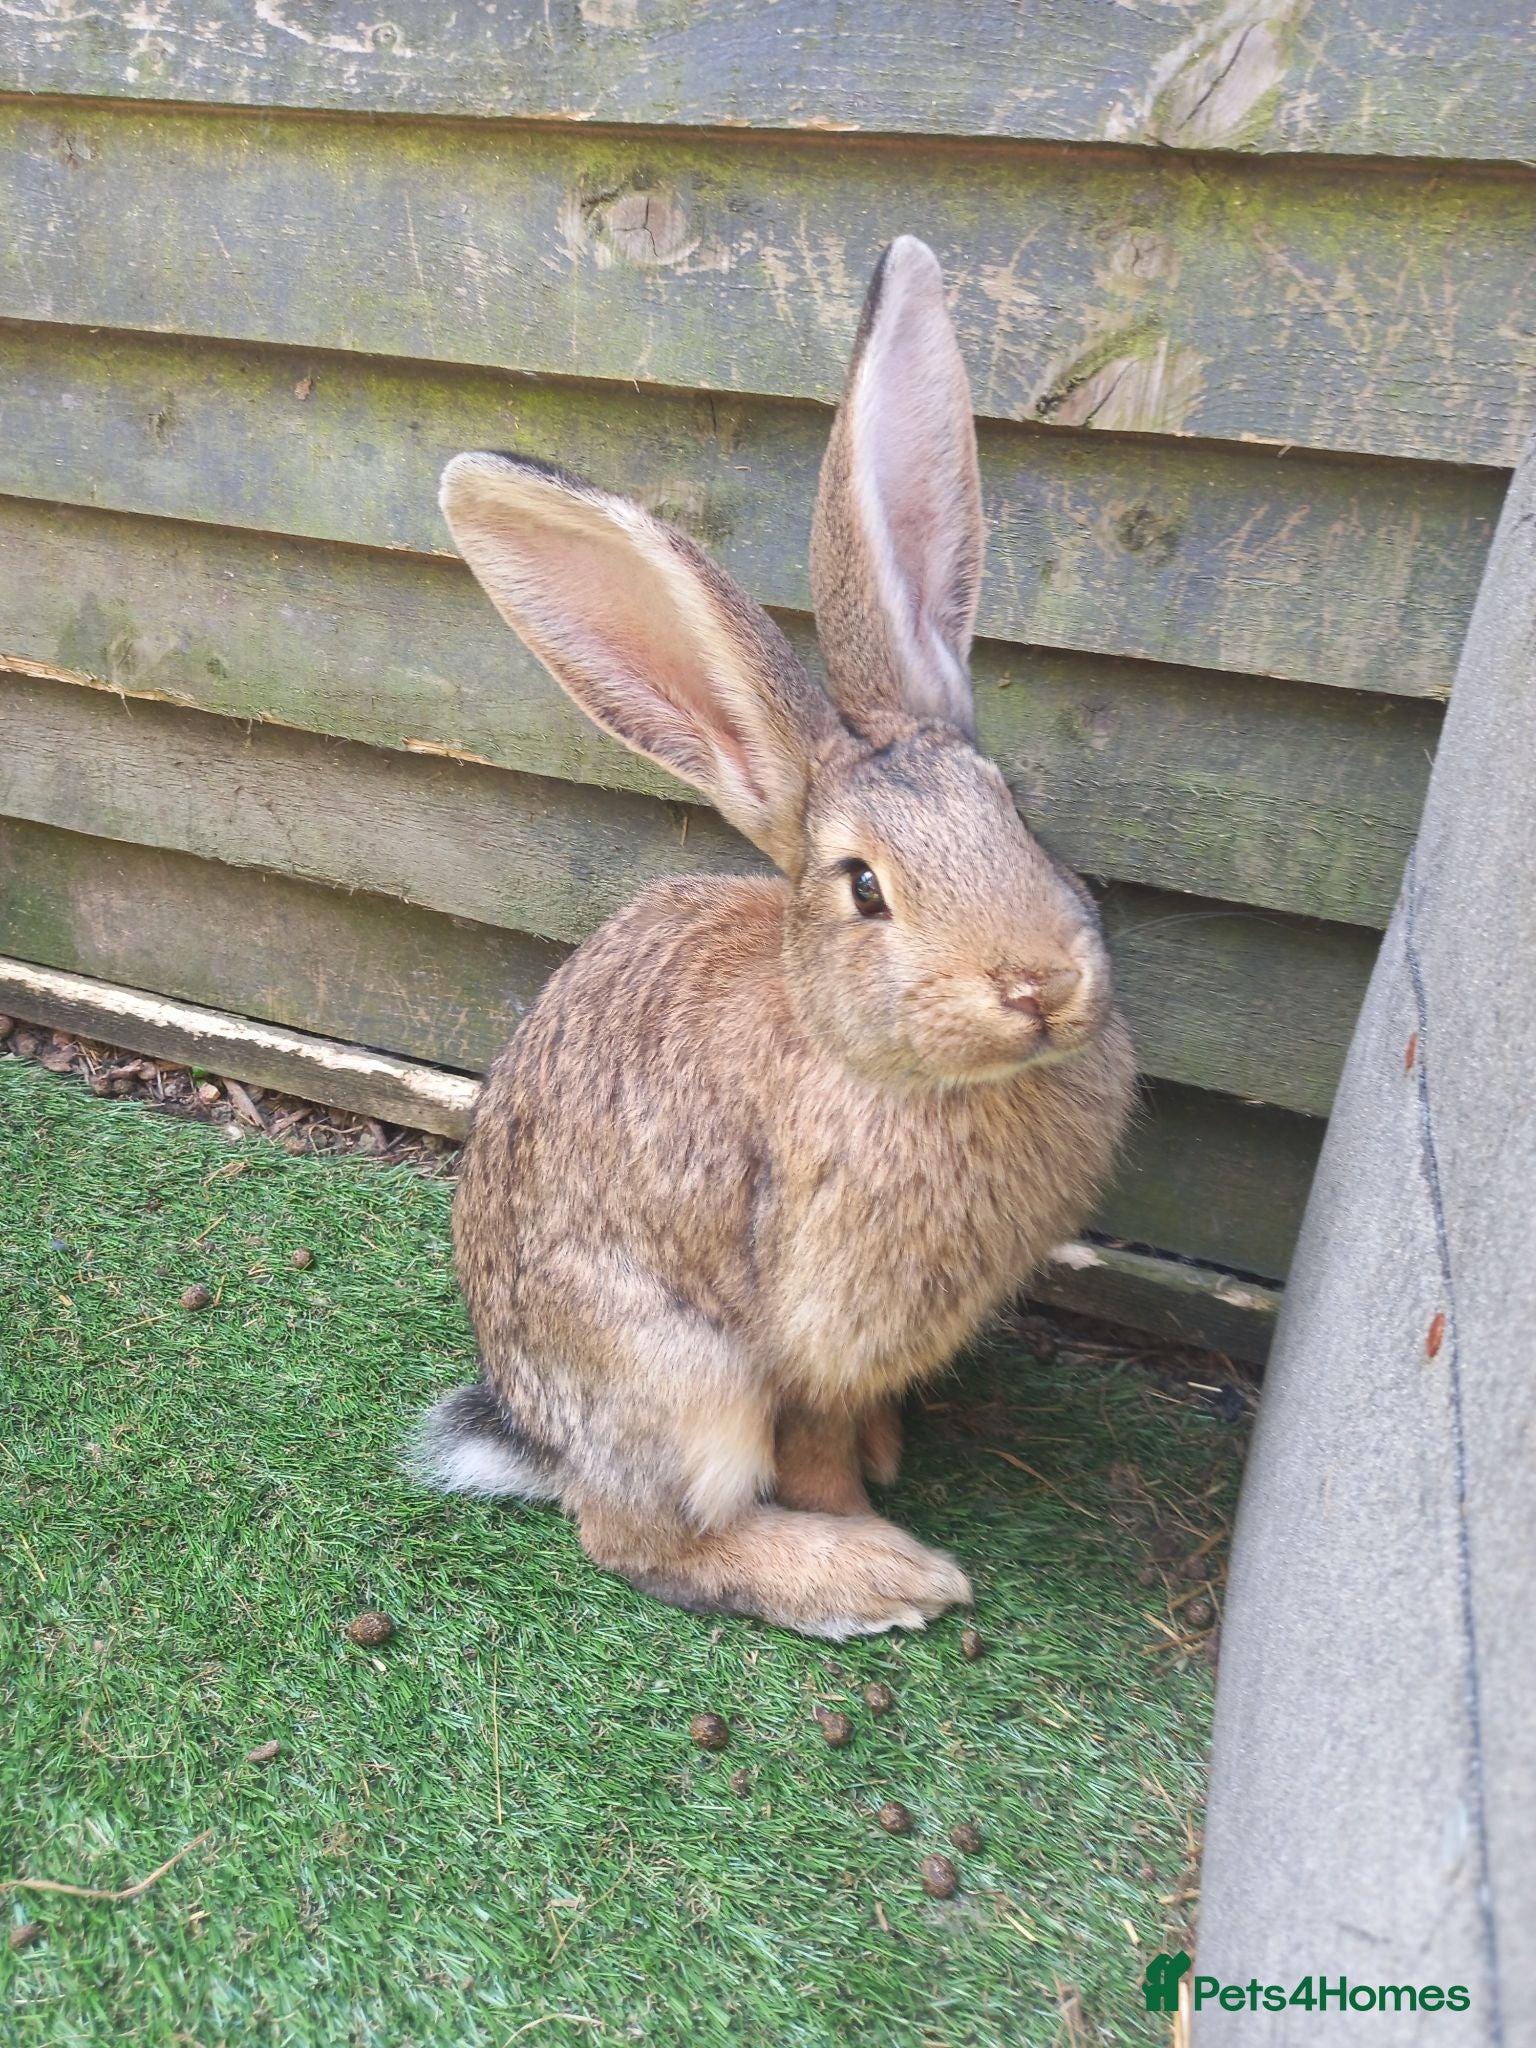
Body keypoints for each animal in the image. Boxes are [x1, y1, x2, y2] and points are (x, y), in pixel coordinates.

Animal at [416, 236, 1135, 1638]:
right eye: (864, 888)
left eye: (1012, 810)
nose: (1036, 986)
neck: (873, 1061)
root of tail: (532, 1430)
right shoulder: (807, 1327)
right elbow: (811, 1447)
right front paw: (864, 1525)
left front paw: (891, 1453)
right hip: (675, 1375)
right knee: (639, 1538)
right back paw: (870, 1576)